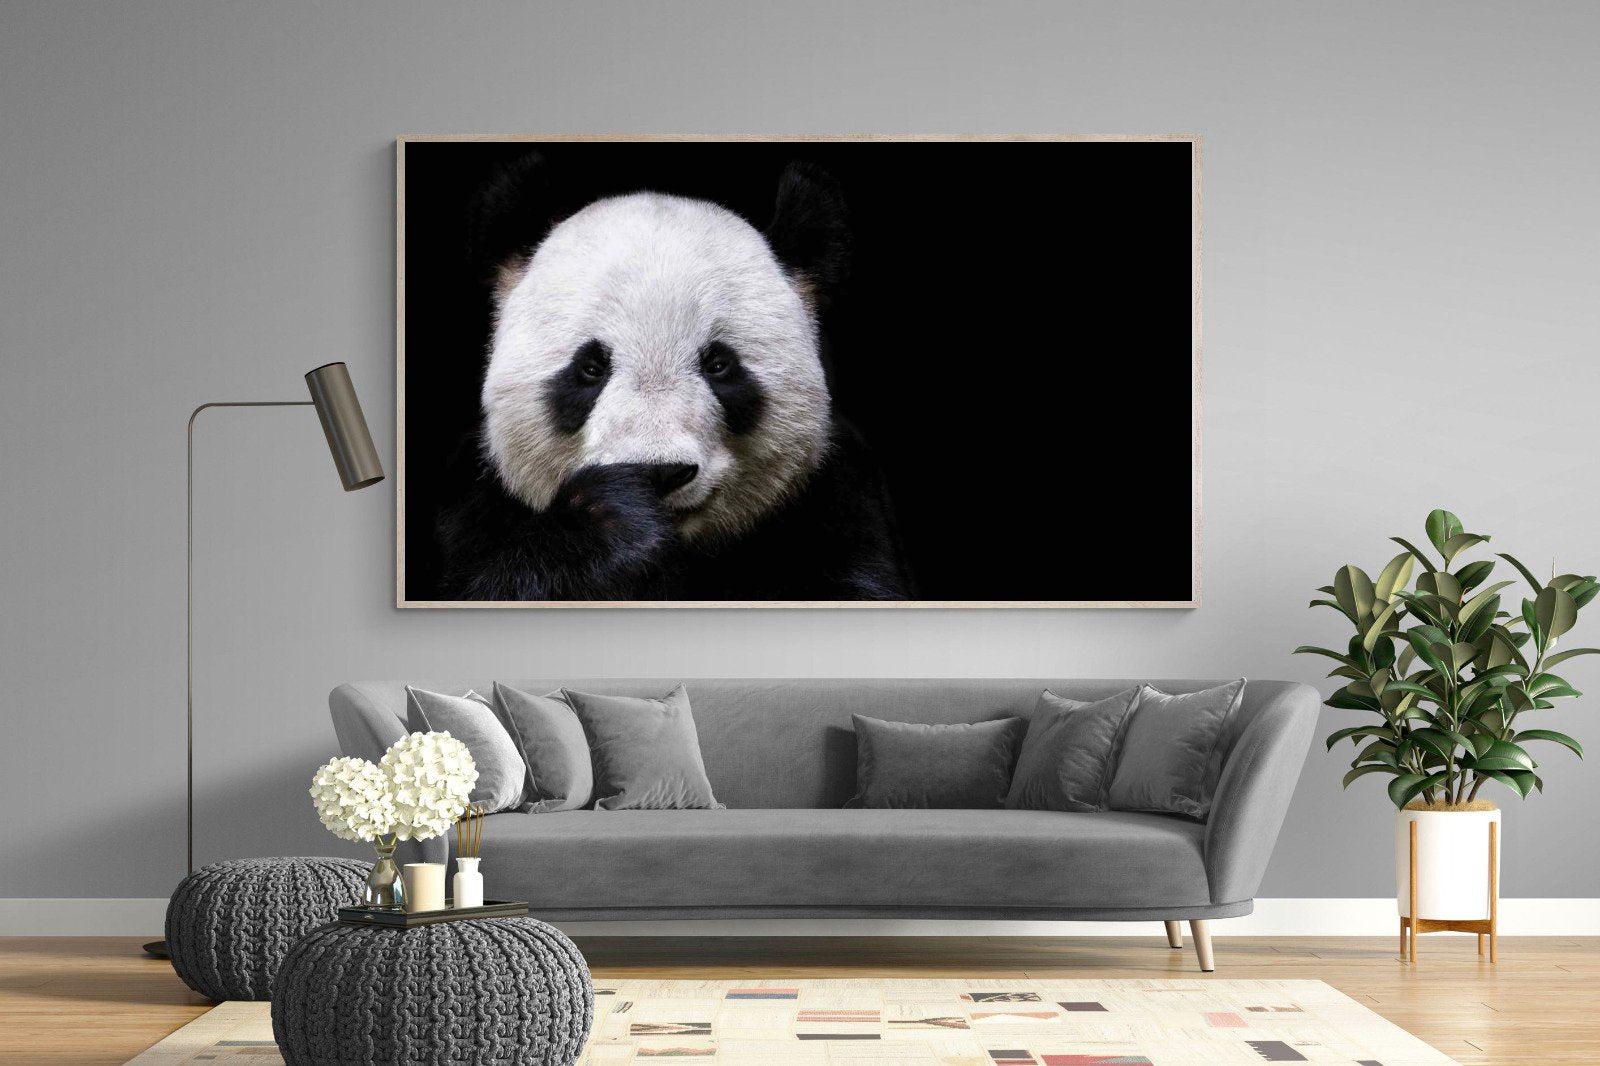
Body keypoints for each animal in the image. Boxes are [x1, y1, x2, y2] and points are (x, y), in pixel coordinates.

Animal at [435, 155, 915, 601]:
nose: (660, 472)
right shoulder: (473, 507)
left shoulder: (838, 502)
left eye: (718, 364)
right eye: (590, 368)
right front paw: (612, 522)